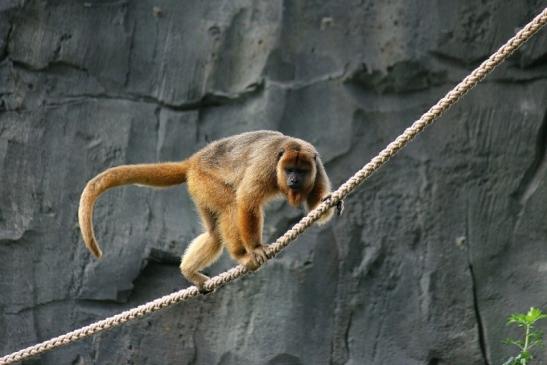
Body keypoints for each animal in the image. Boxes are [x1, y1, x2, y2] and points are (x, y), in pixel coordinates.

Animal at [78, 130, 342, 290]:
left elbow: (318, 208)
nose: (294, 180)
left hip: (199, 189)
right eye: (289, 170)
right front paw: (255, 249)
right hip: (204, 180)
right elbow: (246, 202)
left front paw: (327, 200)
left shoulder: (317, 165)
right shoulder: (266, 166)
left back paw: (189, 271)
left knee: (214, 235)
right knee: (230, 206)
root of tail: (193, 161)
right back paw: (241, 255)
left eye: (302, 171)